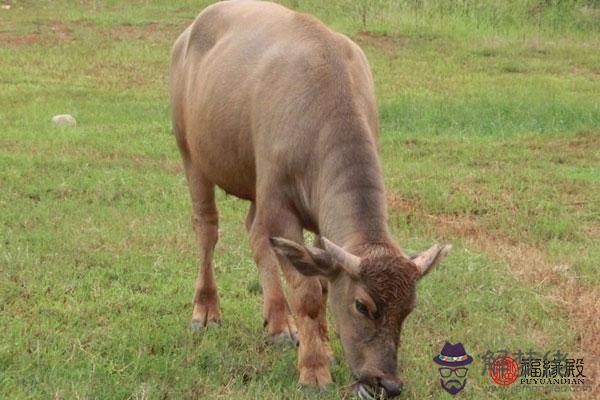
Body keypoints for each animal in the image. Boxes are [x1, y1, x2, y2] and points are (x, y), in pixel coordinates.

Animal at [169, 0, 450, 396]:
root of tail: (188, 33)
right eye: (362, 306)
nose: (386, 383)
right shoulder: (280, 205)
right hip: (191, 153)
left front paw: (323, 347)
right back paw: (206, 312)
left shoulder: (315, 218)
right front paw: (314, 369)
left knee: (255, 233)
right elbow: (308, 293)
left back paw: (279, 323)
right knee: (207, 228)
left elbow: (321, 281)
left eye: (408, 309)